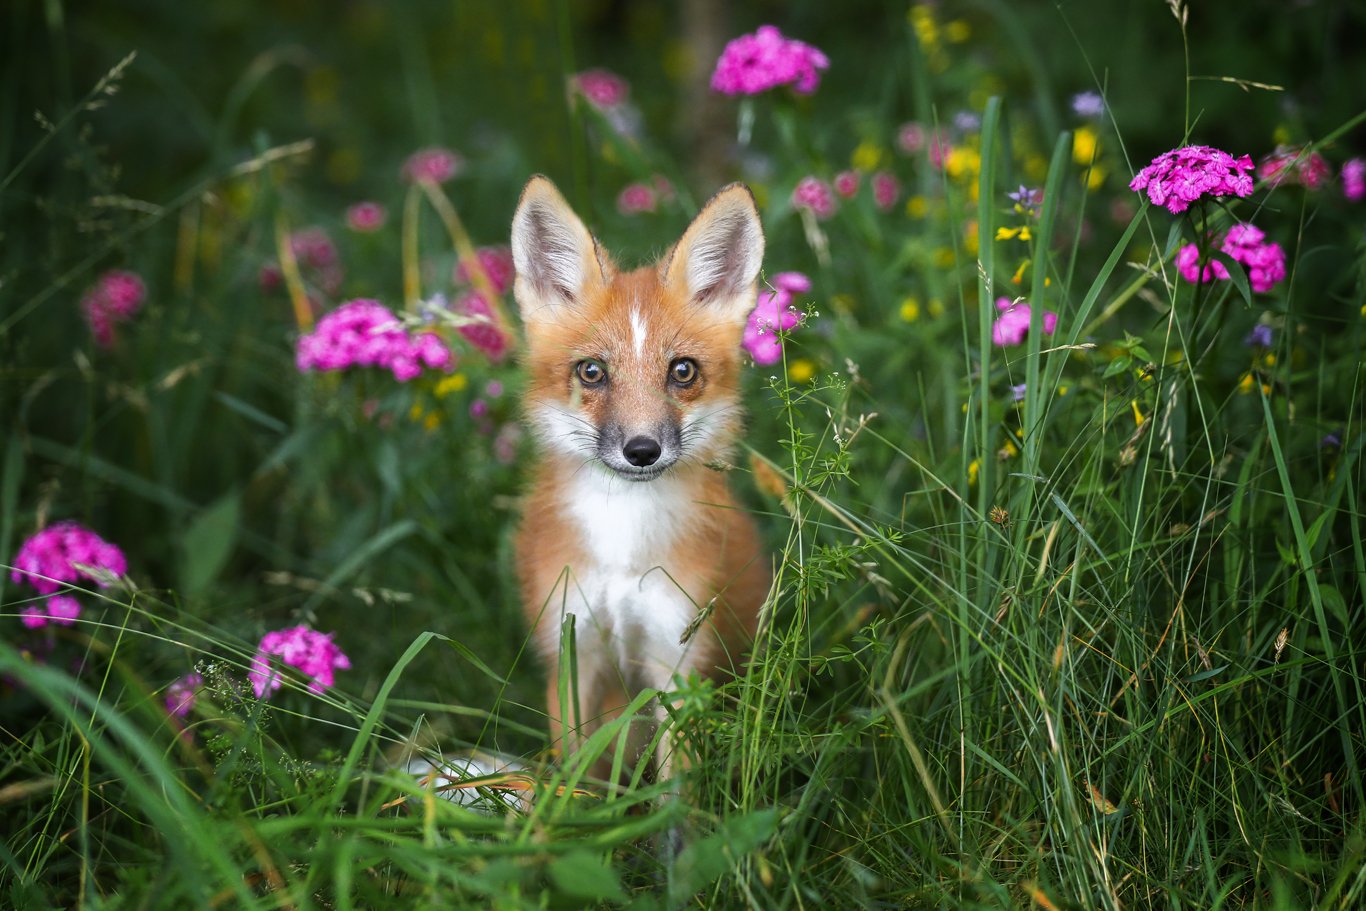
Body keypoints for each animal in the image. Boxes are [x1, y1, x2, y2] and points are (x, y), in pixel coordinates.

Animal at [510, 176, 770, 786]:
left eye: (682, 371)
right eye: (592, 372)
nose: (642, 451)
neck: (622, 548)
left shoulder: (678, 659)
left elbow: (676, 794)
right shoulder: (573, 650)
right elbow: (578, 778)